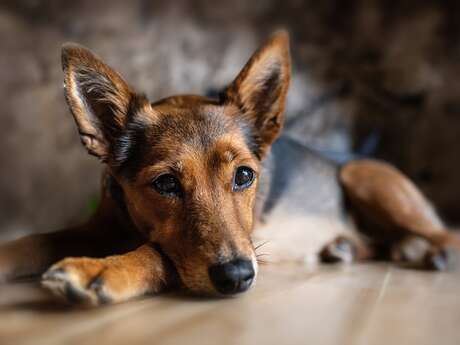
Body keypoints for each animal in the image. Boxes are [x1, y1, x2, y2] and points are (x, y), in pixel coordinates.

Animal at [0, 31, 456, 304]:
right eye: (165, 183)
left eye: (244, 176)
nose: (237, 277)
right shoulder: (97, 227)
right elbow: (36, 239)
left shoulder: (249, 247)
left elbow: (157, 254)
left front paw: (103, 269)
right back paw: (345, 248)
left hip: (362, 175)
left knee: (444, 232)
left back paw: (437, 252)